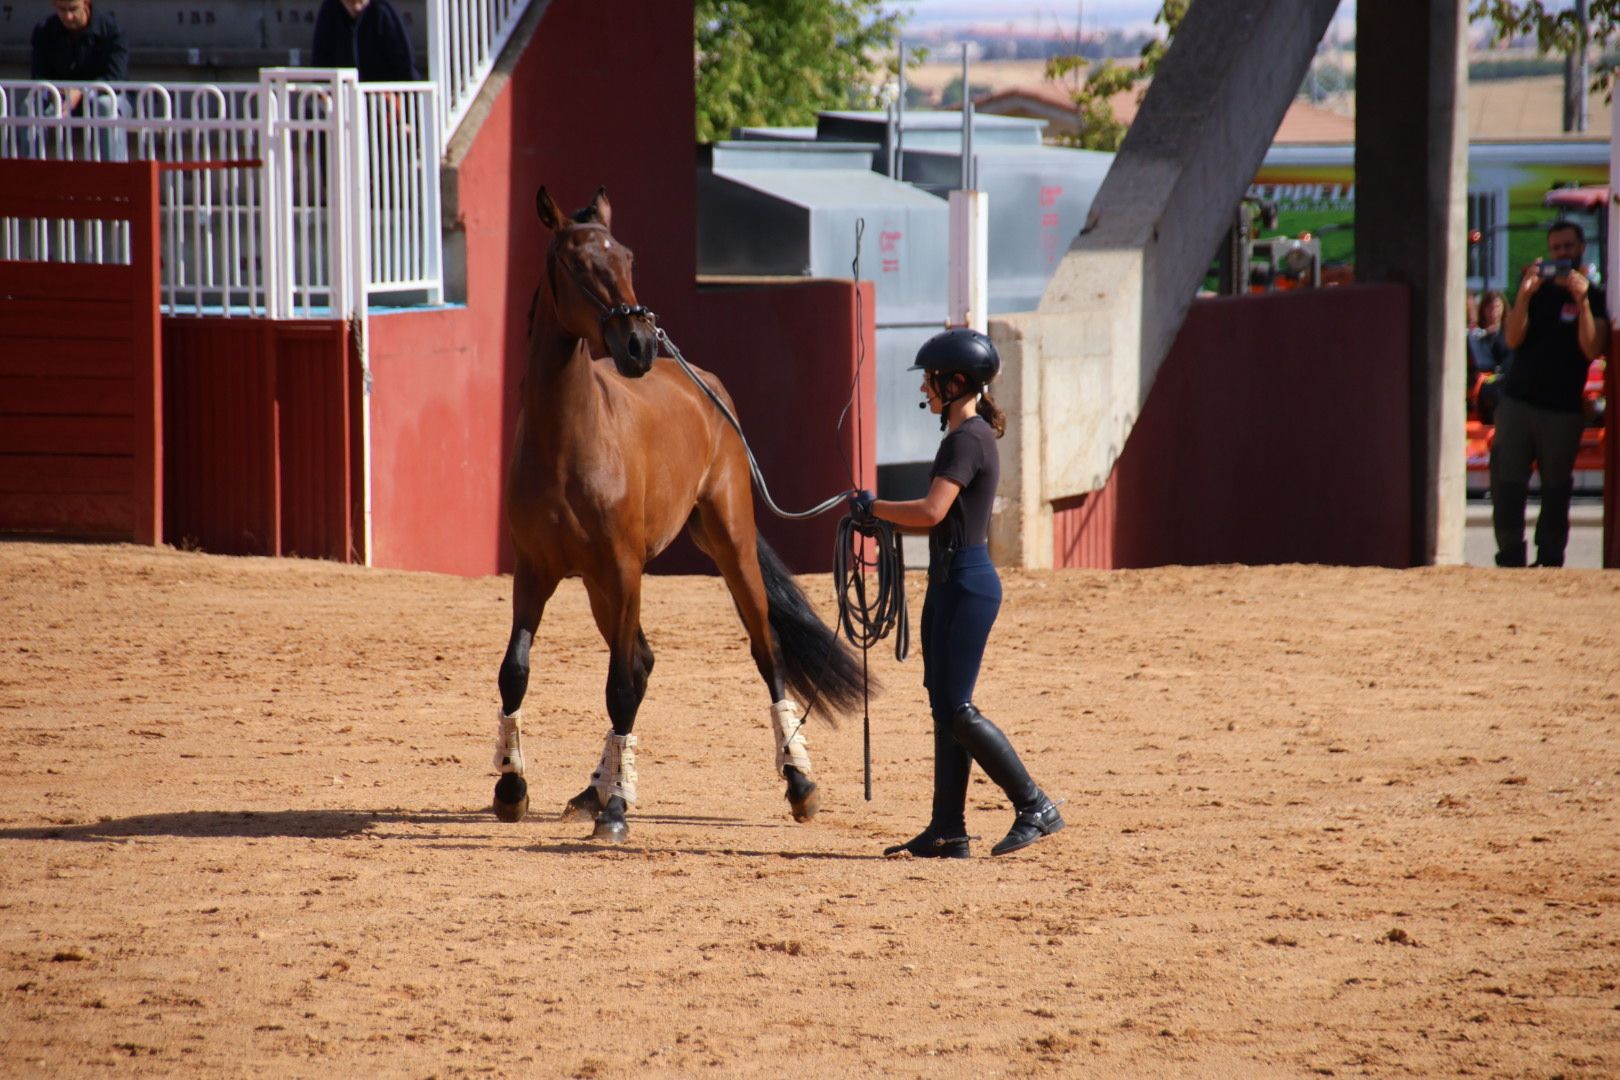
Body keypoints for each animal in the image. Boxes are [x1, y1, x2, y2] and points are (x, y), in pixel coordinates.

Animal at [495, 186, 868, 841]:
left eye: (627, 257)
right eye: (576, 262)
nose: (639, 344)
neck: (567, 439)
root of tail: (707, 386)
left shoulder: (624, 571)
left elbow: (619, 687)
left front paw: (618, 811)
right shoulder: (535, 571)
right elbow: (516, 671)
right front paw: (512, 787)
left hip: (727, 544)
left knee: (765, 650)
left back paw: (798, 783)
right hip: (598, 585)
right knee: (643, 661)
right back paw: (594, 789)